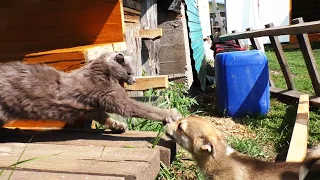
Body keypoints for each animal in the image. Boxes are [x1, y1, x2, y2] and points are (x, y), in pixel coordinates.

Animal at [0, 52, 181, 132]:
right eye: (130, 72)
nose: (134, 80)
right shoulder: (115, 99)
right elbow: (145, 109)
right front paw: (171, 114)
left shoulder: (93, 108)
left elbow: (104, 117)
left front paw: (117, 125)